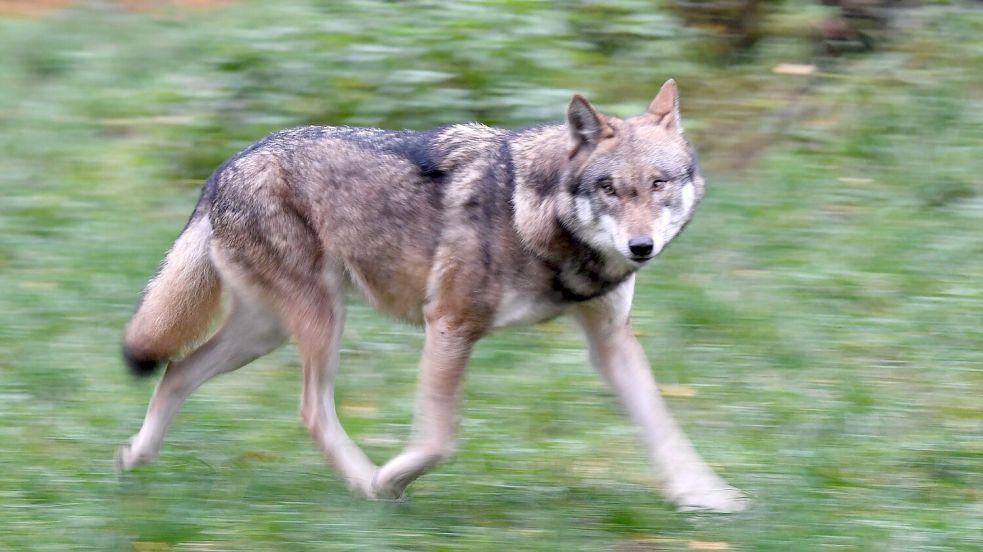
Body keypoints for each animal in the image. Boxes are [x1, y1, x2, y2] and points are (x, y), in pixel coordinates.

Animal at [117, 80, 747, 512]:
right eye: (611, 189)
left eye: (658, 184)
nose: (641, 247)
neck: (537, 217)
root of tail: (225, 166)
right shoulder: (449, 323)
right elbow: (440, 439)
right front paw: (391, 477)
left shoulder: (610, 342)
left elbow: (663, 426)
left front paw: (706, 496)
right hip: (319, 322)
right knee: (309, 410)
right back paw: (365, 484)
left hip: (265, 332)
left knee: (177, 371)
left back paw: (135, 458)